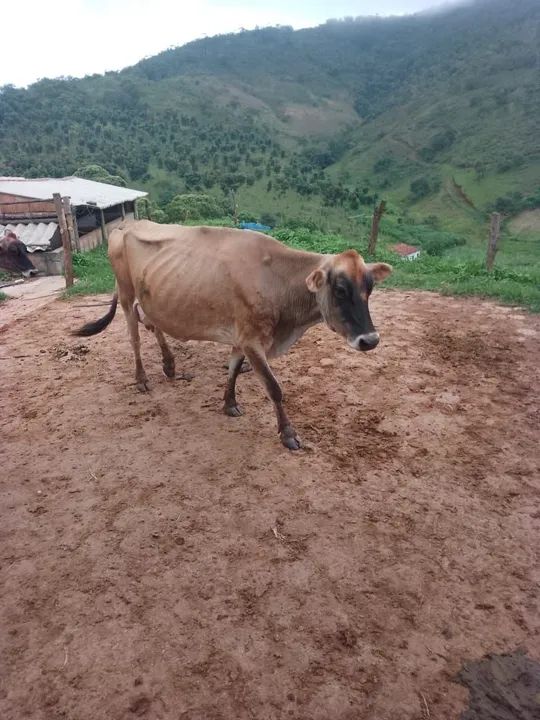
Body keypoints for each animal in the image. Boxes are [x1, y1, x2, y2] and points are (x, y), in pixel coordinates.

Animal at [73, 220, 392, 449]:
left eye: (369, 288)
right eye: (340, 290)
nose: (370, 340)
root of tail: (125, 226)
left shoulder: (242, 336)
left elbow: (233, 370)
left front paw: (229, 404)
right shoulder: (252, 339)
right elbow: (274, 388)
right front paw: (288, 433)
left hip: (153, 298)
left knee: (152, 324)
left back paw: (169, 364)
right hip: (126, 294)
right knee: (134, 336)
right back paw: (141, 378)